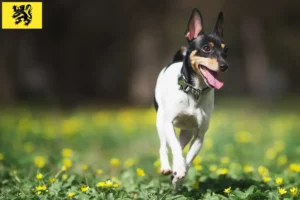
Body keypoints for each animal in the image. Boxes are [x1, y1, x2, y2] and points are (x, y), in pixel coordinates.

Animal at [154, 8, 229, 189]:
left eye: (226, 51)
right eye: (206, 48)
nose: (225, 66)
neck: (194, 91)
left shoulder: (200, 135)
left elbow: (188, 158)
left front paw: (179, 175)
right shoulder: (168, 124)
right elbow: (174, 147)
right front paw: (177, 169)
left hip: (187, 132)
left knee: (180, 146)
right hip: (160, 121)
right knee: (164, 145)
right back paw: (166, 166)